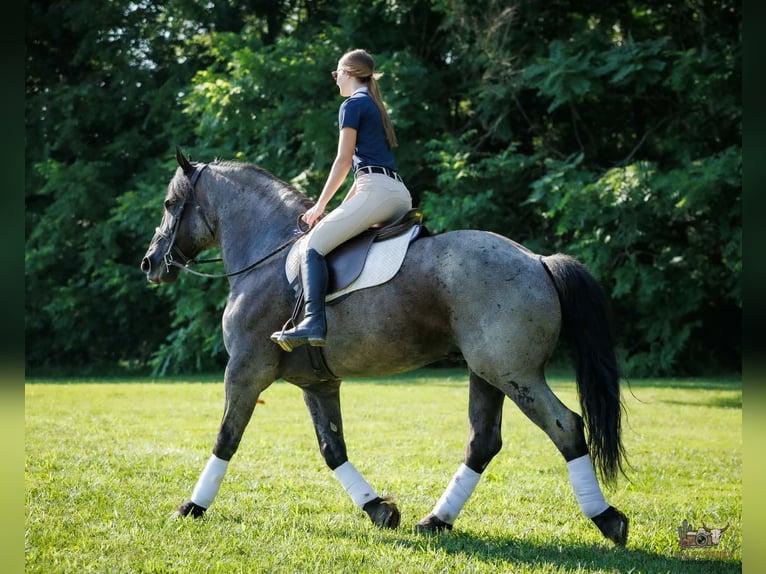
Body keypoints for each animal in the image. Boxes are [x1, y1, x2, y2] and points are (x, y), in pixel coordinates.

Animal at [140, 150, 629, 545]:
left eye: (169, 204)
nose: (149, 263)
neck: (267, 256)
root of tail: (538, 260)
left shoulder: (245, 370)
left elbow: (226, 438)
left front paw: (192, 507)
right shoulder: (316, 383)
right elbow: (332, 449)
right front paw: (379, 510)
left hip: (514, 374)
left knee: (566, 427)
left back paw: (607, 519)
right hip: (486, 373)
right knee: (483, 442)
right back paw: (436, 520)